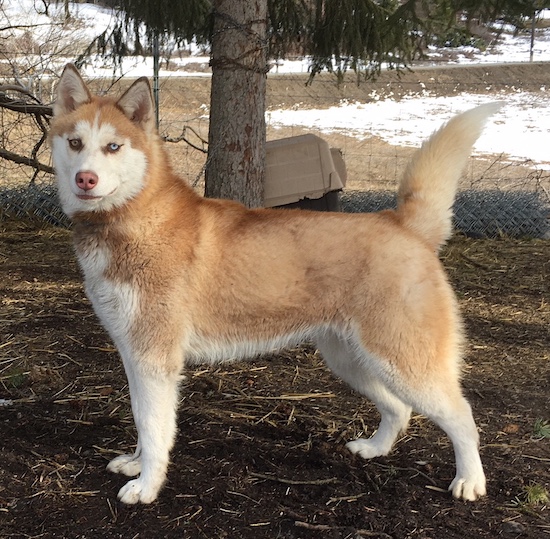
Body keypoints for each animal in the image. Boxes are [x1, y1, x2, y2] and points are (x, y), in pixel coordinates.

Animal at [49, 64, 502, 506]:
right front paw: (135, 462)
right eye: (75, 143)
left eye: (113, 147)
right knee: (398, 410)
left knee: (463, 417)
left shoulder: (155, 360)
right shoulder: (135, 355)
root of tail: (401, 223)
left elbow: (155, 428)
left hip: (405, 364)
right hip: (351, 359)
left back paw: (470, 481)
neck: (131, 221)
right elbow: (142, 419)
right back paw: (375, 449)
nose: (86, 179)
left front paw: (146, 486)